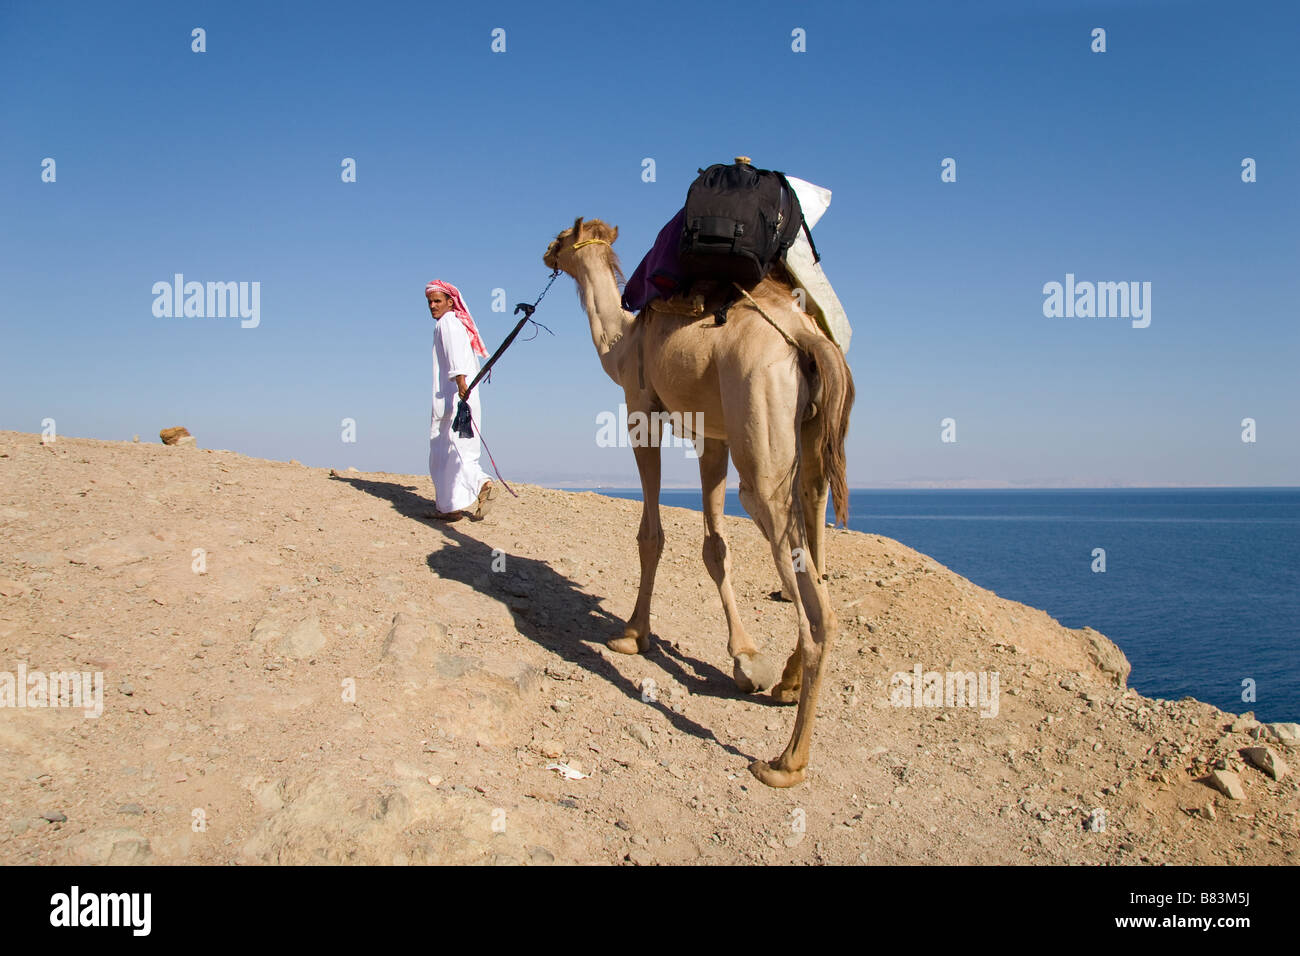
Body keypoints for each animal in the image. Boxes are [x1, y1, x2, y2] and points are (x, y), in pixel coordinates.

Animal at [546, 221, 857, 790]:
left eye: (562, 237)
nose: (545, 254)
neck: (622, 342)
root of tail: (806, 339)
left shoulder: (640, 410)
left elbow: (651, 535)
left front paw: (632, 634)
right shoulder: (714, 437)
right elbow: (715, 547)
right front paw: (745, 657)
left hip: (760, 436)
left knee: (812, 598)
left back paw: (785, 762)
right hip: (811, 443)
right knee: (816, 524)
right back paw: (786, 683)